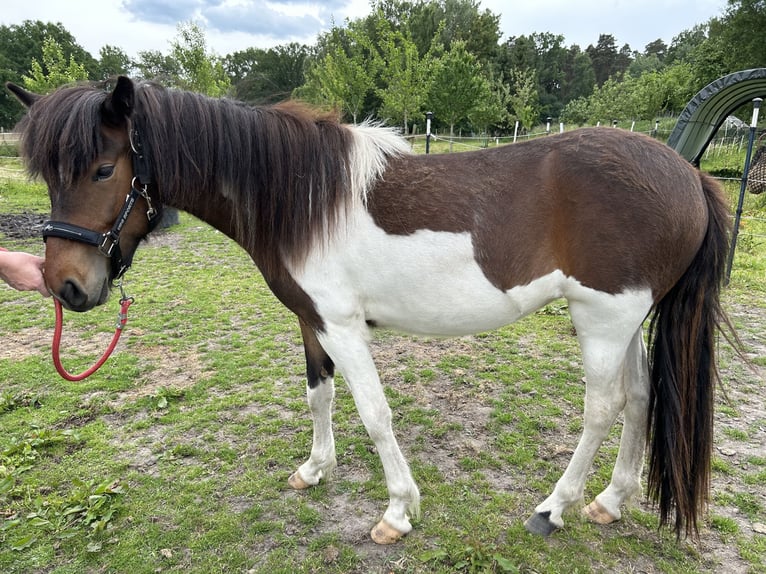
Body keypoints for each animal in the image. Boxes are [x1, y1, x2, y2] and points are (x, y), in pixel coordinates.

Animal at [7, 76, 733, 544]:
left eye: (103, 169)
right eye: (47, 175)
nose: (66, 286)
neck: (301, 199)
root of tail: (688, 173)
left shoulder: (344, 326)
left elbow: (375, 414)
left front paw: (399, 512)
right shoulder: (312, 321)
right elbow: (319, 396)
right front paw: (315, 469)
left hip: (603, 321)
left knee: (603, 408)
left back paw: (555, 508)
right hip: (627, 324)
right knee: (640, 398)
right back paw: (610, 502)